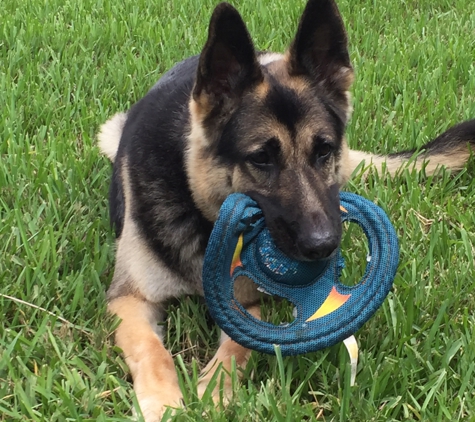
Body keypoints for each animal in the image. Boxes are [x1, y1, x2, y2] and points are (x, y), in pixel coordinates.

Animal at [98, 0, 474, 418]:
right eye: (261, 158)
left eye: (323, 150)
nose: (323, 245)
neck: (200, 213)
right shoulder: (128, 299)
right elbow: (151, 350)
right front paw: (163, 403)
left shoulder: (247, 302)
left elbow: (237, 347)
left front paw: (215, 391)